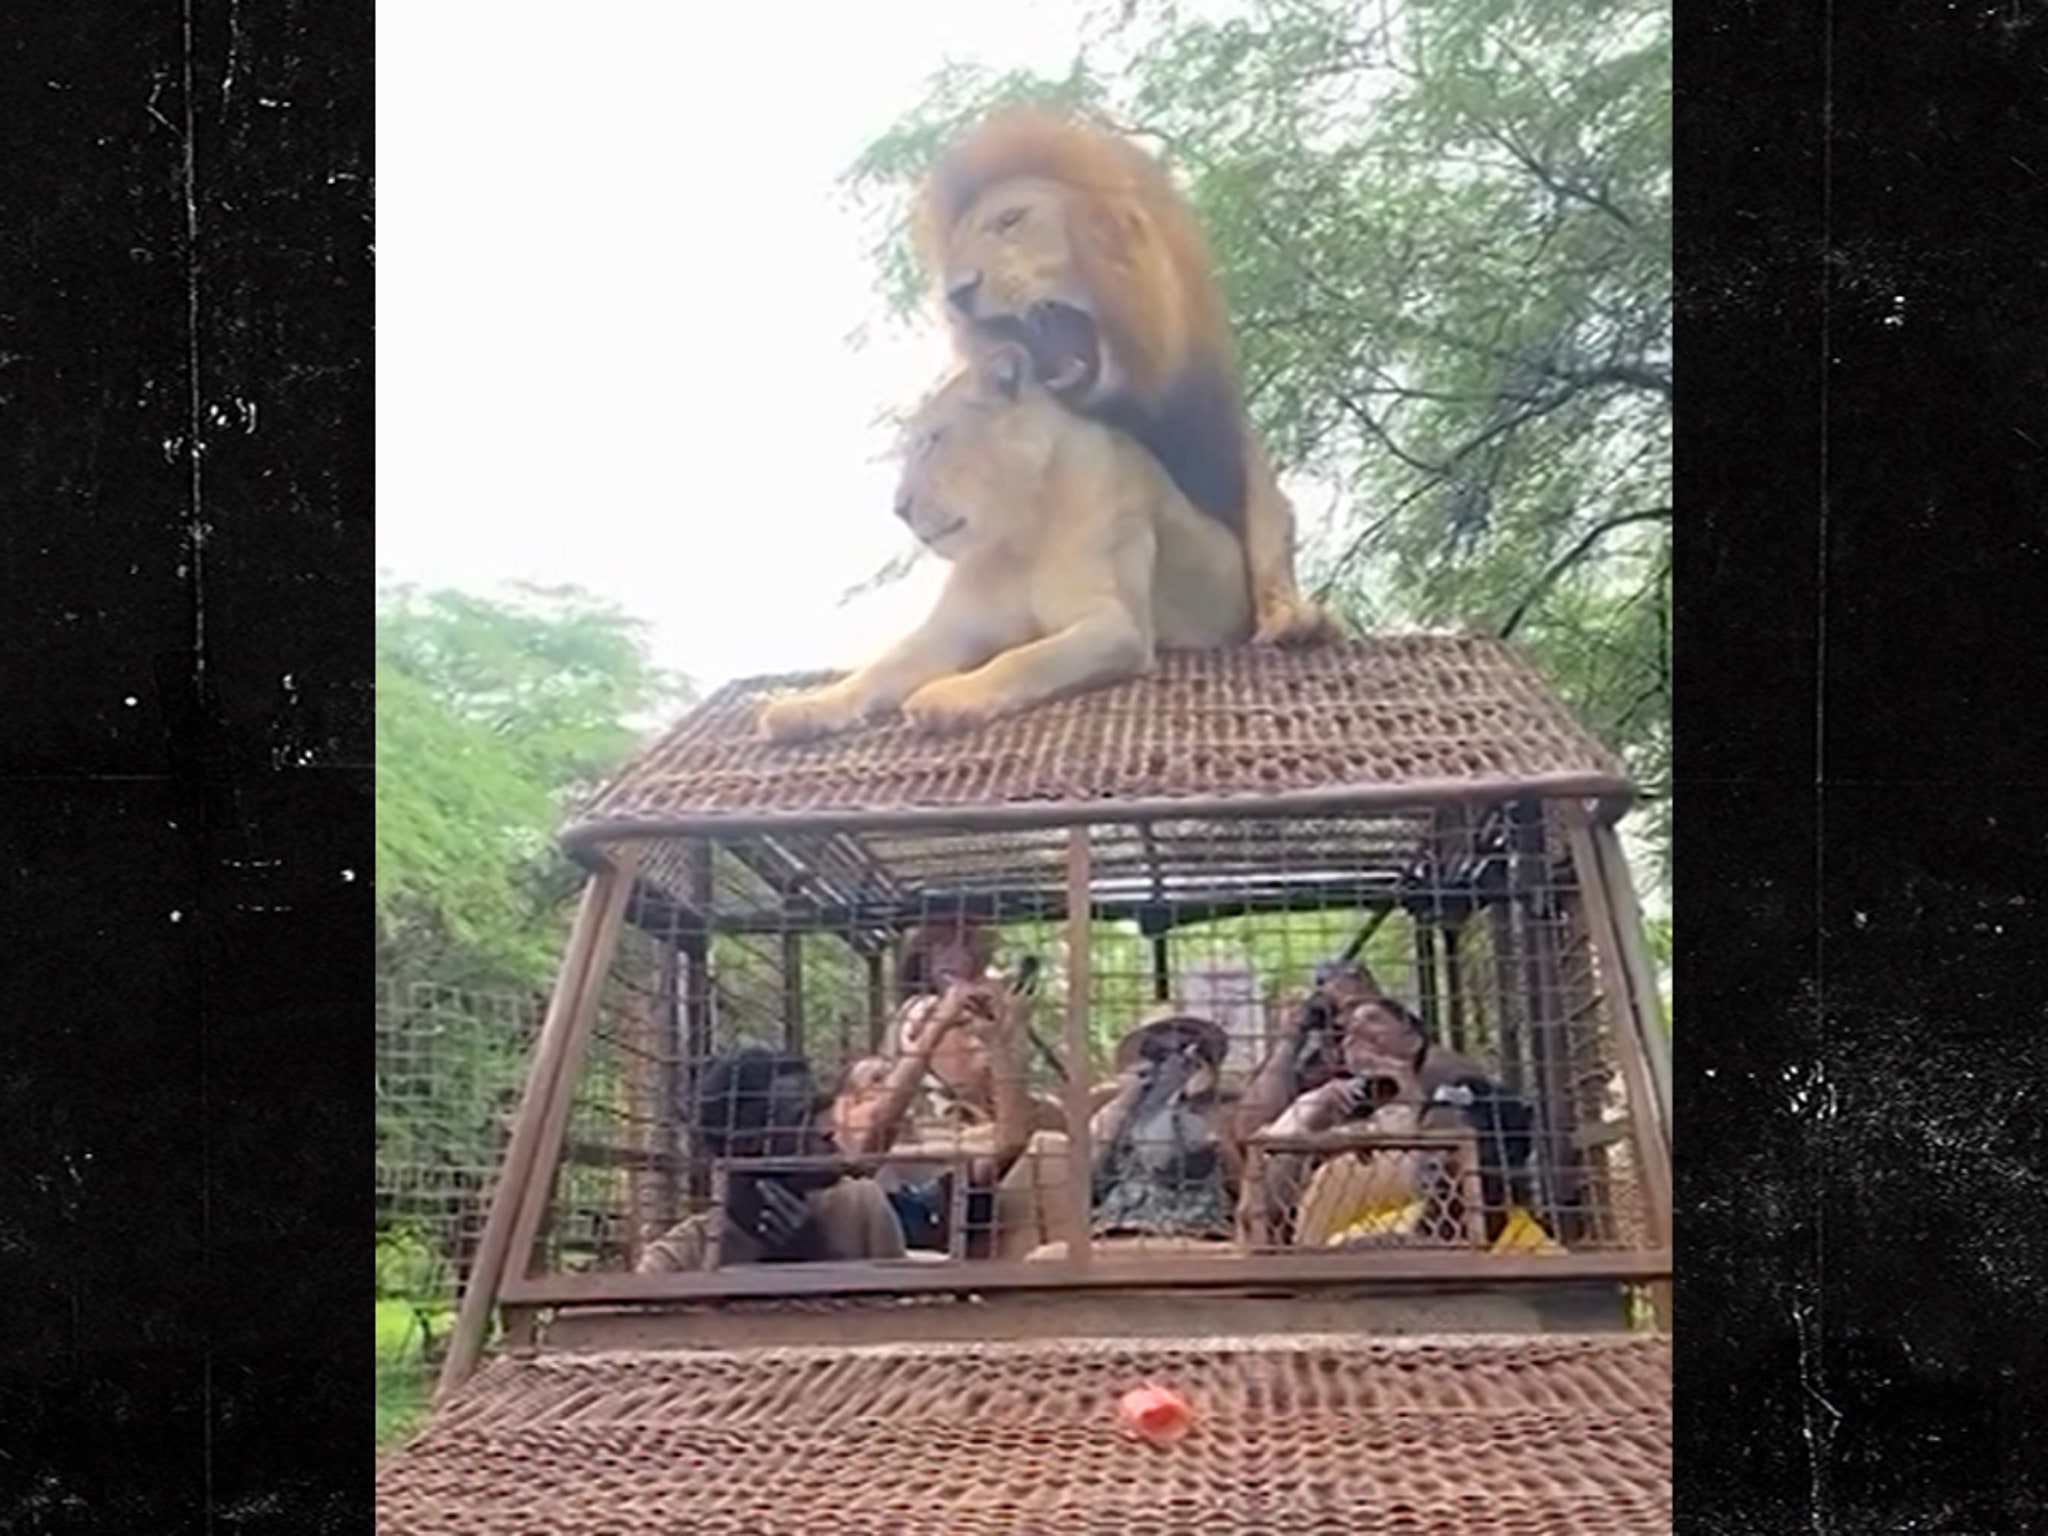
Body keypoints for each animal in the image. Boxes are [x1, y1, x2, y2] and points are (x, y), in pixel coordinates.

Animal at [757, 346, 1245, 741]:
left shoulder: (1114, 623)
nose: (899, 508)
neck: (1019, 536)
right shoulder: (952, 629)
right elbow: (880, 667)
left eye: (933, 440)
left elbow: (1024, 658)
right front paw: (806, 706)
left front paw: (948, 698)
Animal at [913, 107, 1343, 651]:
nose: (957, 292)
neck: (1131, 403)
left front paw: (1294, 617)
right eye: (955, 252)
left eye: (1009, 220)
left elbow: (1269, 520)